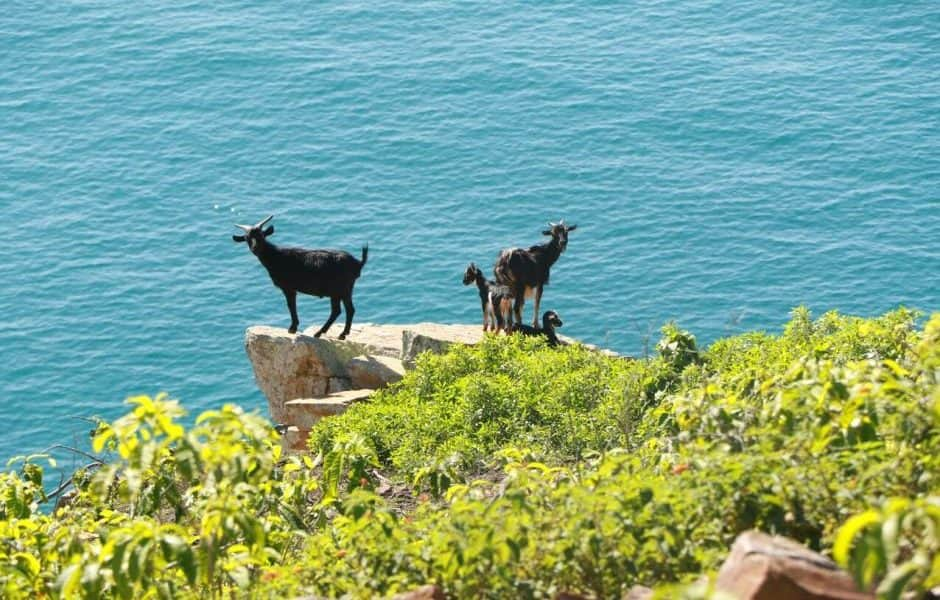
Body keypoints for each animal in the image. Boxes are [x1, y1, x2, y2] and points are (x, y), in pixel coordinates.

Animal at [231, 214, 368, 338]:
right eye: (247, 238)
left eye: (261, 235)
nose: (255, 248)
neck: (276, 257)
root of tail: (358, 263)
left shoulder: (288, 288)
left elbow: (291, 305)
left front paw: (292, 328)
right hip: (340, 291)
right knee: (339, 310)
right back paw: (327, 333)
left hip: (342, 289)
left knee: (346, 310)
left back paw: (336, 334)